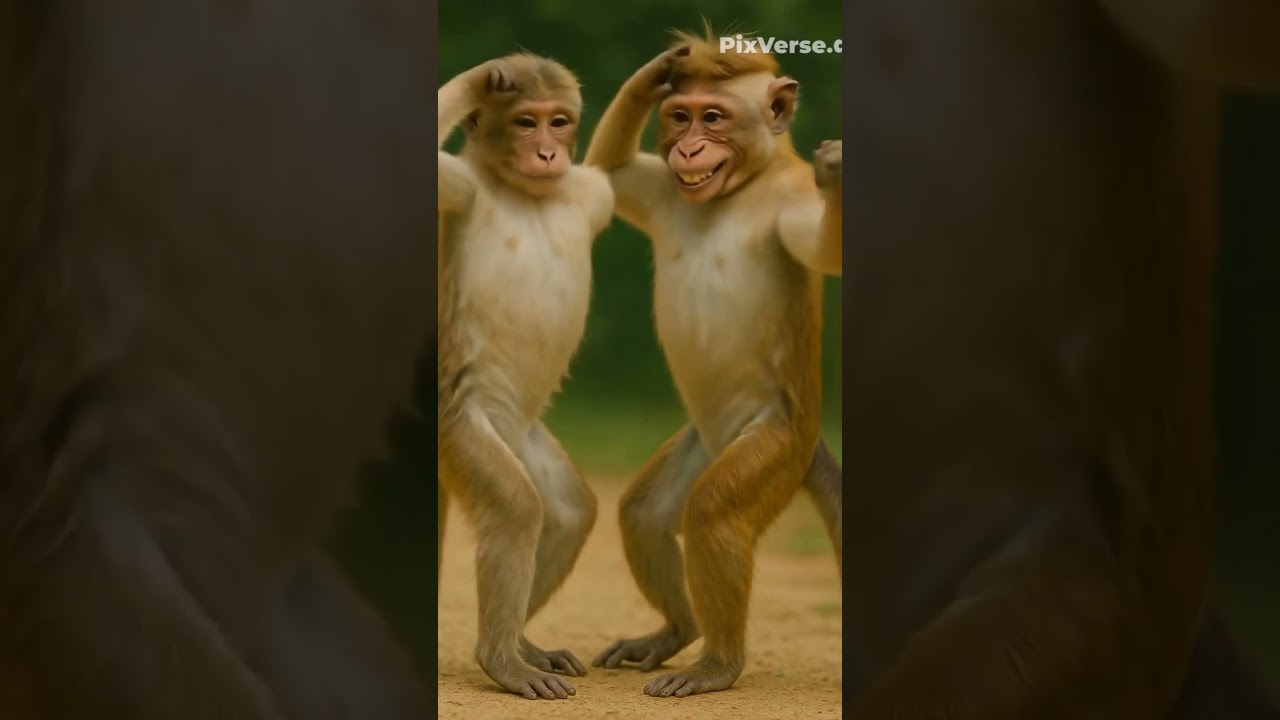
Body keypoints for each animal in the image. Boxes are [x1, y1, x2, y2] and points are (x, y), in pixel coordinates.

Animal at [436, 53, 614, 701]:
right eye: (525, 122)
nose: (547, 153)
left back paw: (520, 647)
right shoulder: (459, 187)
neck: (524, 191)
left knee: (566, 513)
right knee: (516, 509)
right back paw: (501, 662)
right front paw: (486, 77)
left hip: (521, 435)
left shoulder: (589, 190)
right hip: (462, 430)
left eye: (558, 121)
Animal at [582, 30, 844, 698]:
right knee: (645, 513)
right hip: (705, 438)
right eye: (681, 116)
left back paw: (718, 664)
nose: (689, 147)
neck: (744, 188)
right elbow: (611, 172)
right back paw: (678, 632)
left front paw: (836, 172)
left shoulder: (792, 204)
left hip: (771, 447)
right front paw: (659, 69)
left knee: (714, 512)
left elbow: (825, 248)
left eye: (715, 118)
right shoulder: (665, 189)